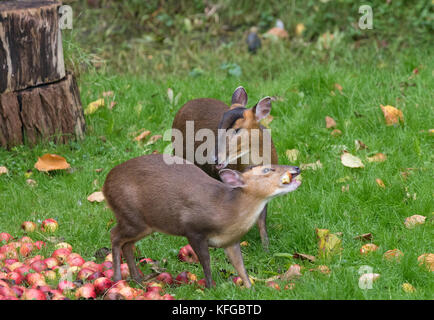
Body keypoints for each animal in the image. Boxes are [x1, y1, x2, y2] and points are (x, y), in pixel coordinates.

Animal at [103, 154, 300, 288]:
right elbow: (205, 260)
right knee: (114, 235)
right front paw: (211, 287)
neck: (227, 211)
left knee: (127, 244)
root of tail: (105, 184)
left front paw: (250, 287)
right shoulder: (193, 230)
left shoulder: (231, 240)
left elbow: (240, 266)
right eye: (267, 170)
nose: (296, 168)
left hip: (146, 224)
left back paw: (138, 280)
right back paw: (118, 279)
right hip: (132, 216)